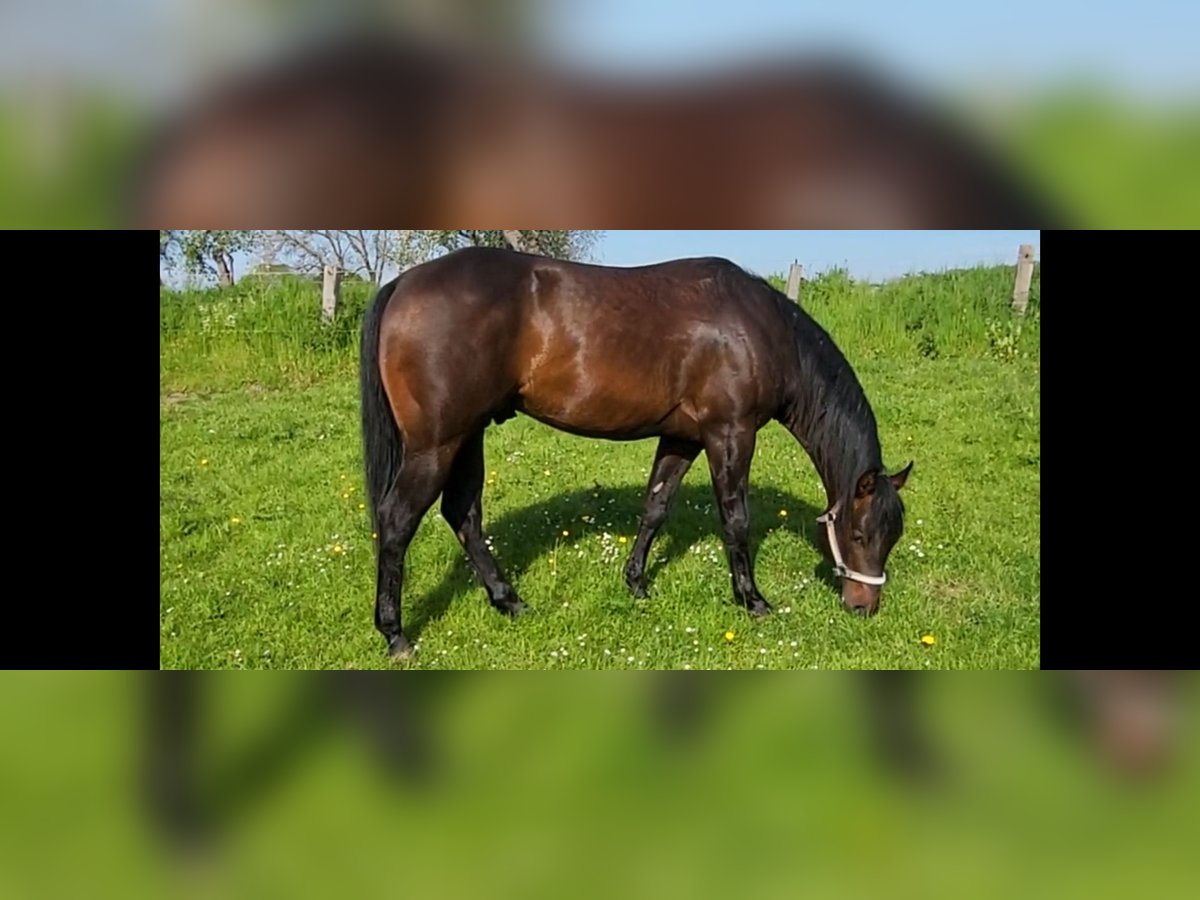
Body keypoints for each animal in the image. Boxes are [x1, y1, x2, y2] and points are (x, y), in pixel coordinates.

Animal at [360, 247, 912, 662]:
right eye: (859, 535)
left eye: (893, 538)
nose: (864, 606)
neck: (761, 330)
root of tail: (402, 284)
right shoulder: (730, 433)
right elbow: (735, 519)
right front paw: (752, 600)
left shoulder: (684, 438)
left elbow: (656, 507)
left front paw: (637, 583)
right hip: (436, 444)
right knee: (397, 521)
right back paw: (396, 634)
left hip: (467, 436)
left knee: (464, 515)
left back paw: (509, 601)